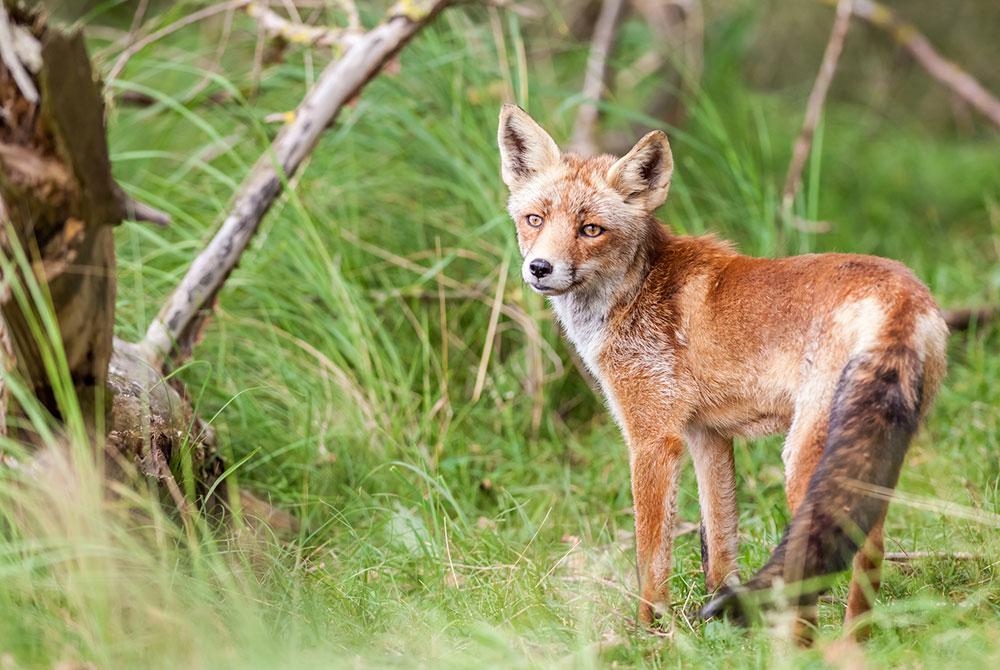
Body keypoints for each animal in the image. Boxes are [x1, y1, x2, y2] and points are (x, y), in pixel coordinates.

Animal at [496, 105, 948, 640]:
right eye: (534, 220)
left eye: (591, 229)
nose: (539, 268)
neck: (635, 293)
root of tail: (903, 294)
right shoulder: (706, 435)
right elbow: (719, 545)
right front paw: (719, 625)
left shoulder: (653, 438)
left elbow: (652, 557)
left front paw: (649, 632)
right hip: (872, 450)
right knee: (868, 547)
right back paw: (853, 641)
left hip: (803, 457)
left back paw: (806, 645)